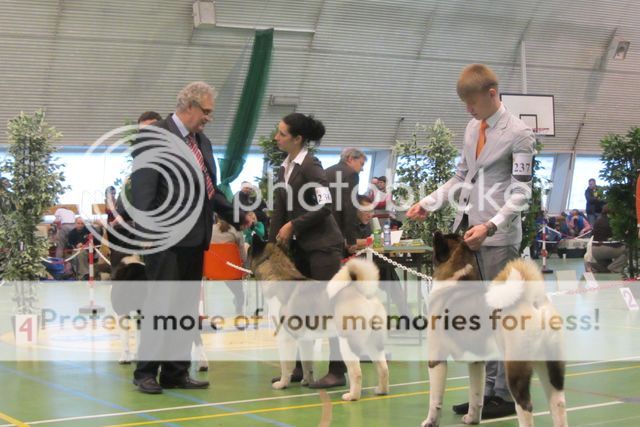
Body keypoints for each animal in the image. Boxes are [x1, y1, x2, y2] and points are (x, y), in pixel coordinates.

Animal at [249, 236, 389, 401]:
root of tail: (364, 293)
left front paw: (283, 383)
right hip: (373, 343)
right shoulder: (304, 341)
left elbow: (286, 365)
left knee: (356, 372)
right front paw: (307, 381)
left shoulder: (285, 338)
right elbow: (307, 364)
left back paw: (352, 396)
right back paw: (381, 390)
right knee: (383, 368)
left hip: (348, 342)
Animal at [421, 232, 567, 427]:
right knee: (557, 403)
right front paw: (472, 418)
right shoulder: (476, 363)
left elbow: (435, 399)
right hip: (549, 367)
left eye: (444, 238)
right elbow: (476, 396)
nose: (436, 232)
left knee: (525, 406)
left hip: (515, 369)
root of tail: (532, 301)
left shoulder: (436, 358)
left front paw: (430, 421)